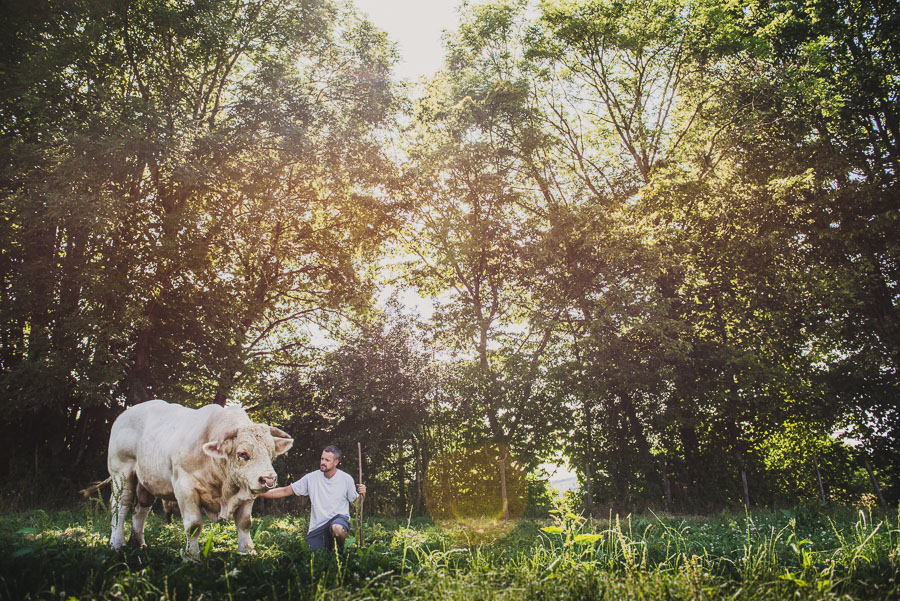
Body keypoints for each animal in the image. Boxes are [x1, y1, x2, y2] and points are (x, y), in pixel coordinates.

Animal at [104, 398, 292, 552]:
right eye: (242, 454)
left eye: (272, 454)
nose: (269, 479)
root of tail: (125, 414)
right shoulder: (185, 488)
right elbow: (193, 525)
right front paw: (192, 556)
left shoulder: (247, 488)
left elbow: (245, 522)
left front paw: (247, 551)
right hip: (121, 474)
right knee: (120, 506)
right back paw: (117, 543)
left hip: (146, 481)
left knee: (141, 508)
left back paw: (138, 542)